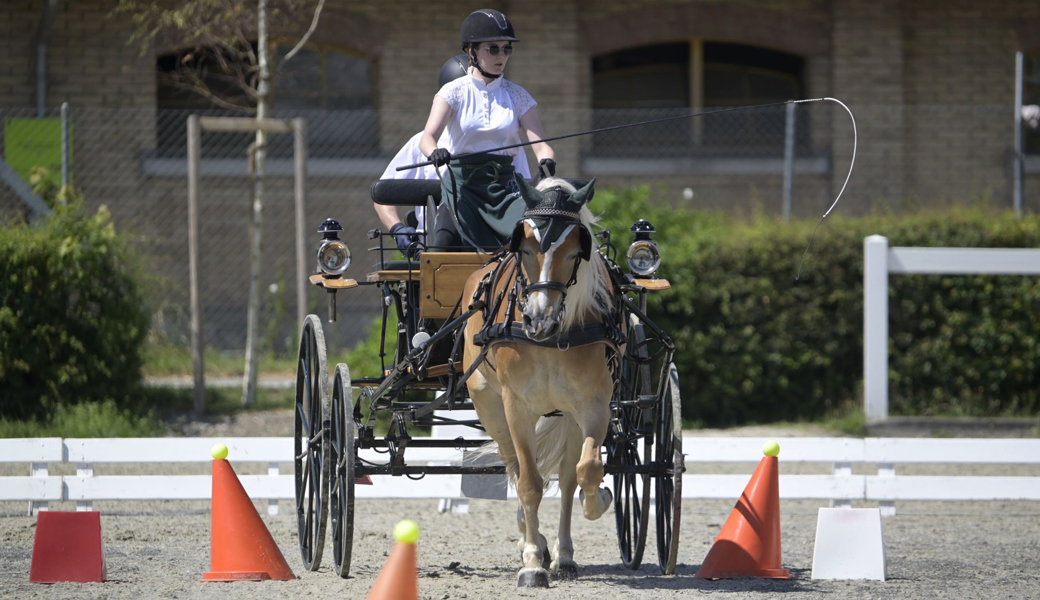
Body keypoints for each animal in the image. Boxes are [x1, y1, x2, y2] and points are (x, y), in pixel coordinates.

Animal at [461, 175, 615, 586]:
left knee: (566, 478)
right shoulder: (517, 406)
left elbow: (586, 471)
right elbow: (529, 483)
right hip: (490, 407)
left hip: (568, 416)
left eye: (577, 250)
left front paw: (598, 500)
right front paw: (531, 562)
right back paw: (534, 542)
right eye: (525, 247)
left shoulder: (594, 403)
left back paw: (564, 555)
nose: (537, 320)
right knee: (514, 467)